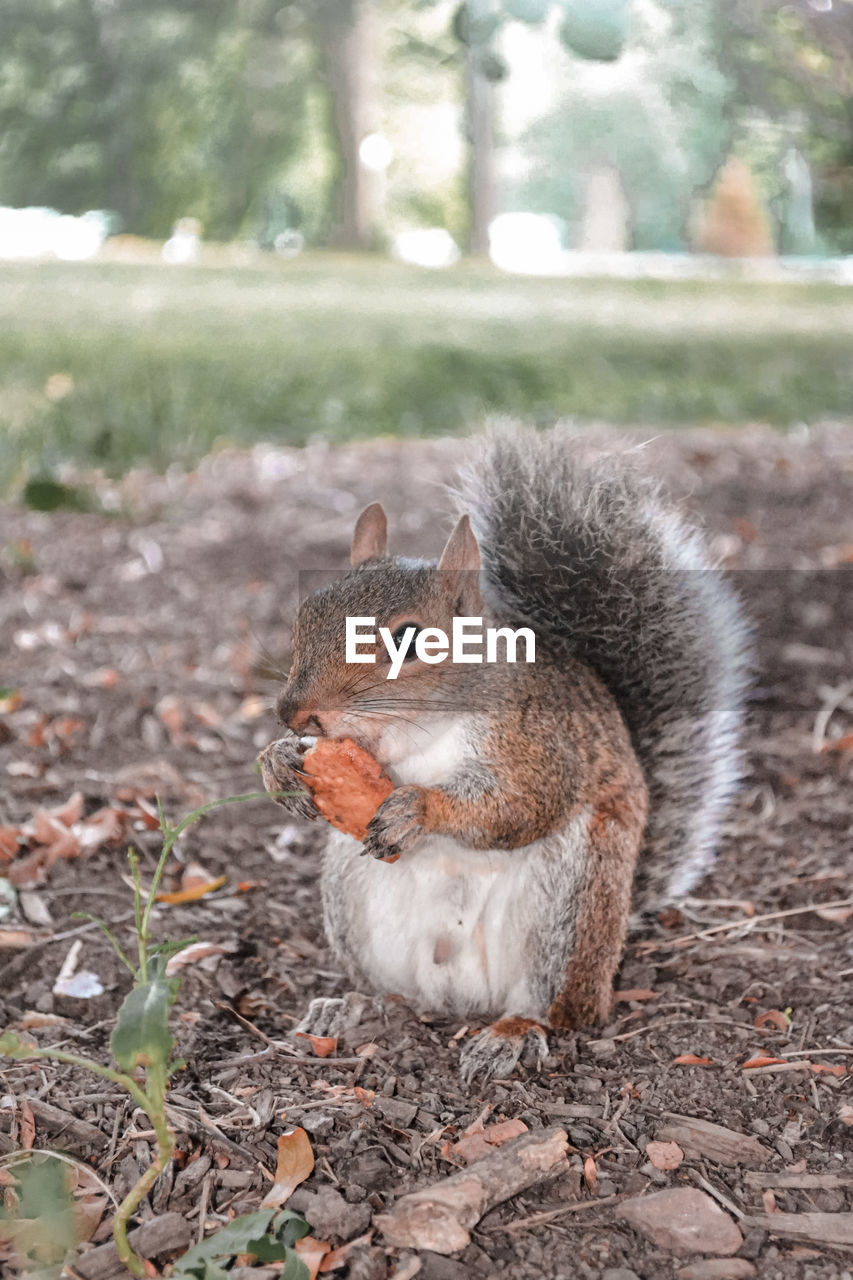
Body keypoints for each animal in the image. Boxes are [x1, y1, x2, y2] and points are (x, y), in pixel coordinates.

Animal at [257, 430, 742, 1080]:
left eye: (409, 640)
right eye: (303, 617)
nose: (294, 713)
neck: (411, 732)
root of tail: (464, 997)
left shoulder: (539, 742)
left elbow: (521, 805)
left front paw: (419, 809)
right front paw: (279, 760)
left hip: (573, 901)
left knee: (554, 1008)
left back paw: (511, 1033)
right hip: (352, 895)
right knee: (399, 997)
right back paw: (354, 1006)